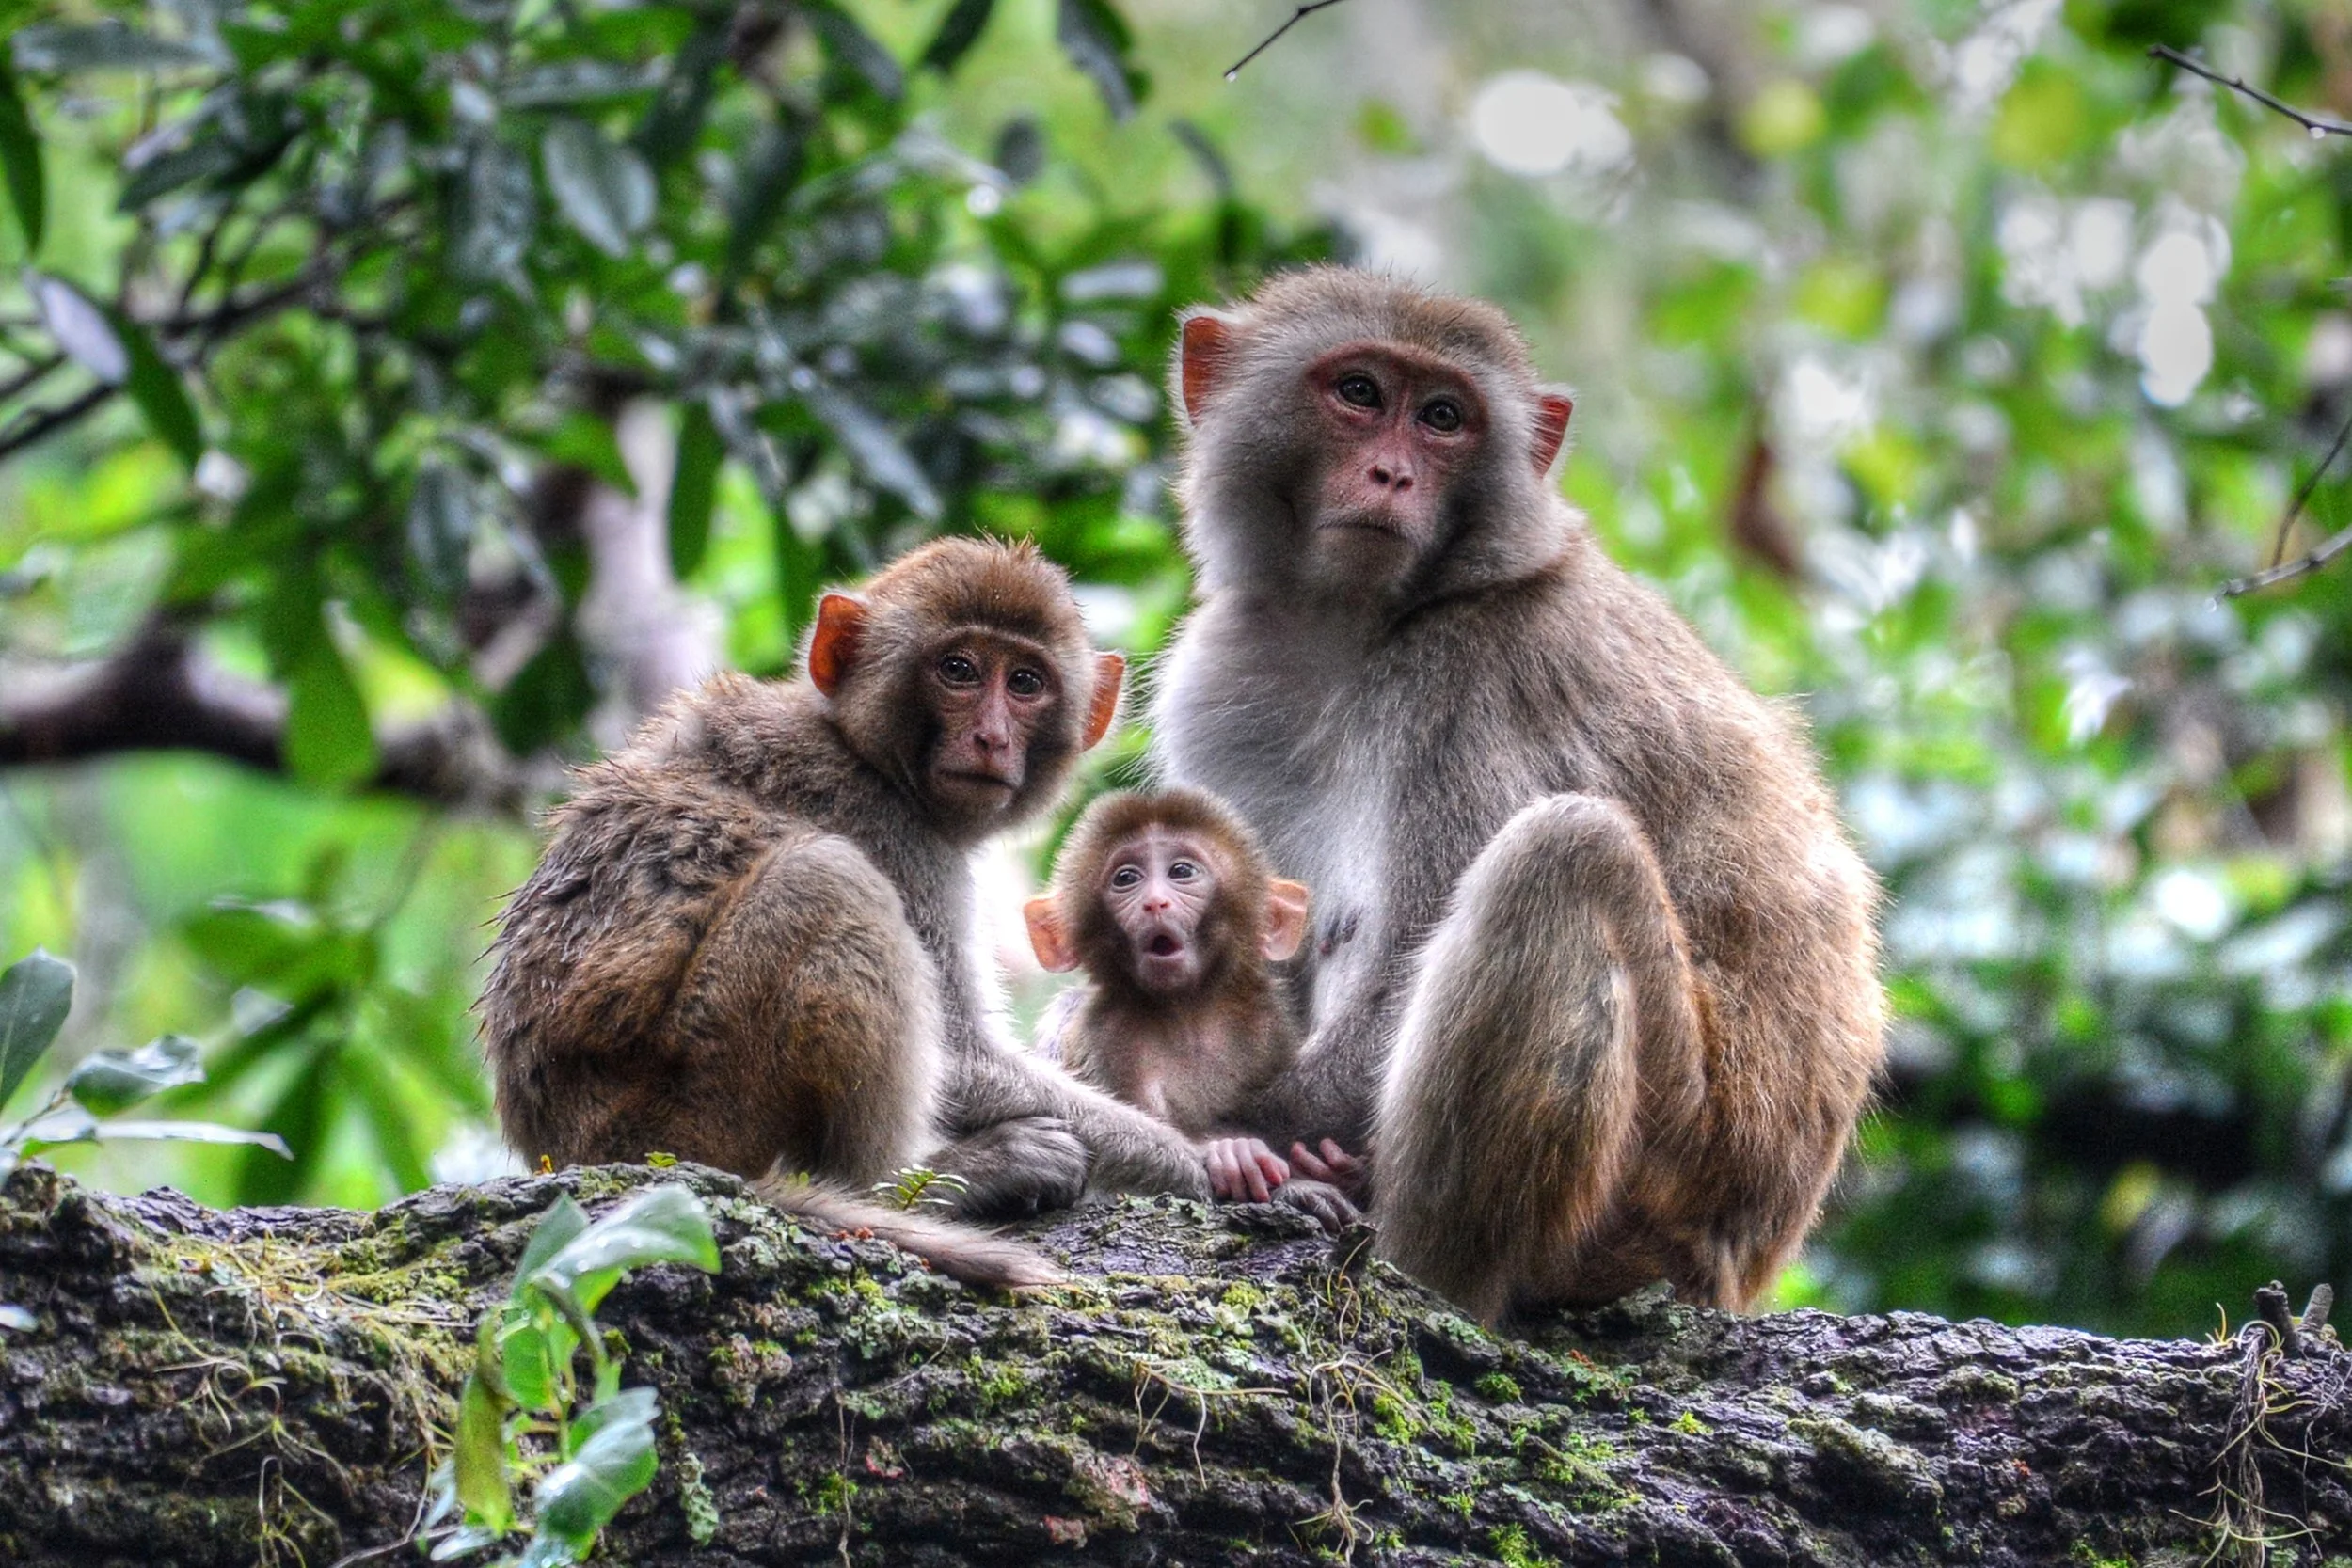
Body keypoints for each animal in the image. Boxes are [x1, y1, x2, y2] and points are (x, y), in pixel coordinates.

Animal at [479, 536, 1214, 1291]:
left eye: (1025, 682)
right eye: (958, 669)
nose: (990, 736)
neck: (865, 752)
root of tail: (578, 1147)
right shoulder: (894, 828)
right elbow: (962, 1058)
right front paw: (1204, 1164)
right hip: (696, 1113)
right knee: (826, 878)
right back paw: (928, 1182)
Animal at [1020, 789, 1357, 1226]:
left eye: (1181, 871)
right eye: (1126, 878)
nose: (1155, 903)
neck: (1186, 1017)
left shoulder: (1266, 1024)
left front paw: (1338, 1170)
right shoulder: (1108, 1037)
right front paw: (1240, 1160)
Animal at [1150, 266, 1885, 1322]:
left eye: (1444, 418)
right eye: (1360, 393)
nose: (1393, 475)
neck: (1359, 623)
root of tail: (1745, 1264)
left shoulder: (1468, 683)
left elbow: (1403, 953)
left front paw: (1224, 1135)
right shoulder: (1220, 678)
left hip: (1668, 1170)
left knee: (1565, 850)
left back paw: (1425, 1269)